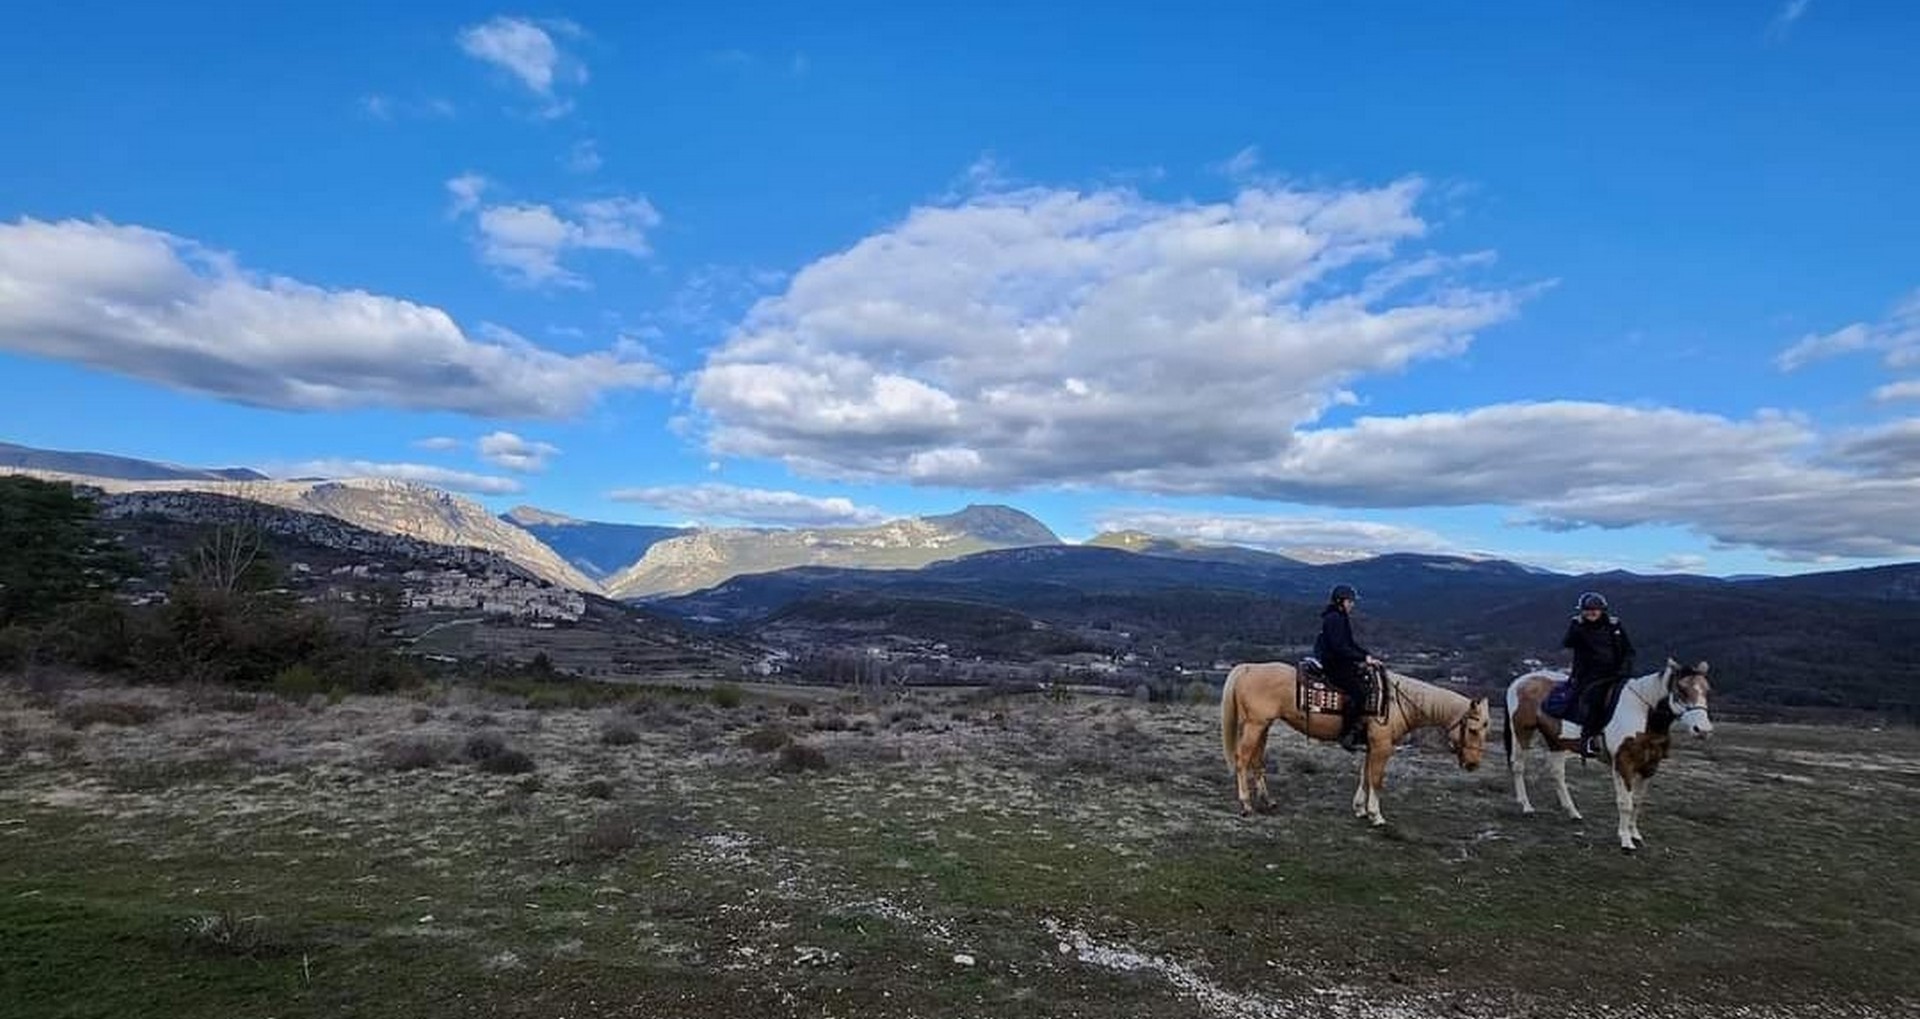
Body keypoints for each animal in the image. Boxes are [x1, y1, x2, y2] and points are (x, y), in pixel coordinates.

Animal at [1221, 660, 1489, 829]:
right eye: (1473, 730)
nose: (1473, 764)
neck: (1396, 701)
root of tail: (1248, 668)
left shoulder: (1372, 745)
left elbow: (1365, 775)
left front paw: (1360, 809)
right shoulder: (1382, 746)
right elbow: (1376, 779)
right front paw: (1376, 815)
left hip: (1262, 726)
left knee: (1257, 760)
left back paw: (1267, 800)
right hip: (1255, 725)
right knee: (1242, 760)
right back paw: (1246, 804)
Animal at [1505, 656, 1720, 848]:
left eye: (1707, 690)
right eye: (1681, 689)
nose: (1703, 730)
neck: (1643, 714)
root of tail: (1519, 681)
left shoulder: (1649, 766)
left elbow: (1637, 801)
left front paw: (1635, 834)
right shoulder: (1624, 763)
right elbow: (1625, 802)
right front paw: (1625, 840)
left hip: (1556, 741)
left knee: (1557, 773)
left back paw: (1572, 812)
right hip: (1522, 732)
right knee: (1518, 766)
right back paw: (1526, 806)